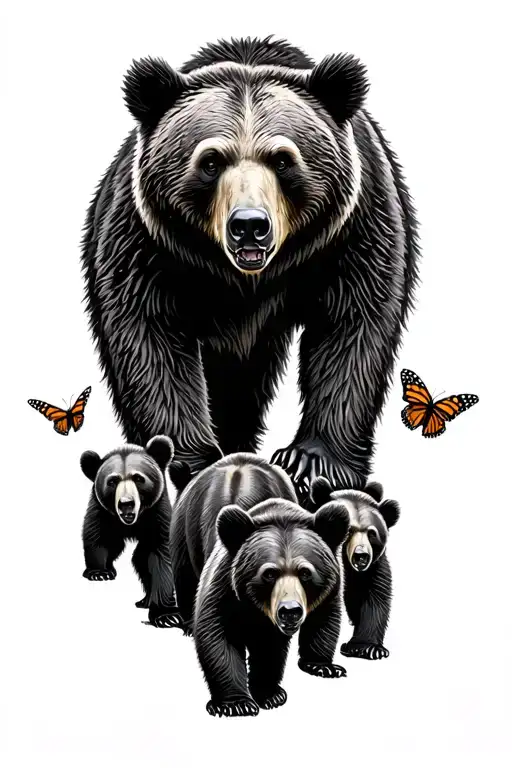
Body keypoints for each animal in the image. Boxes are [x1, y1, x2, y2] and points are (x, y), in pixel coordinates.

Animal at [80, 435, 180, 627]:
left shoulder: (157, 514)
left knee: (140, 557)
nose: (126, 503)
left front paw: (166, 615)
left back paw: (146, 600)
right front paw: (99, 573)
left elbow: (160, 556)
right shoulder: (102, 511)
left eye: (139, 478)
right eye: (112, 481)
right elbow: (99, 537)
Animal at [81, 36, 420, 500]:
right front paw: (190, 460)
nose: (249, 226)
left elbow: (351, 325)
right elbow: (148, 334)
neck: (246, 277)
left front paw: (311, 462)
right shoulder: (146, 238)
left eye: (283, 159)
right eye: (210, 161)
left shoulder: (353, 228)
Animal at [192, 496, 351, 717]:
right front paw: (236, 704)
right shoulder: (224, 588)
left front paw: (321, 667)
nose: (290, 611)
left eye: (305, 572)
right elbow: (219, 635)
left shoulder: (331, 588)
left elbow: (320, 622)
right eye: (269, 573)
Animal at [309, 477, 400, 660]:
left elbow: (373, 594)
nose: (361, 555)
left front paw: (367, 647)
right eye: (349, 530)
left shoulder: (373, 564)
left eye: (372, 533)